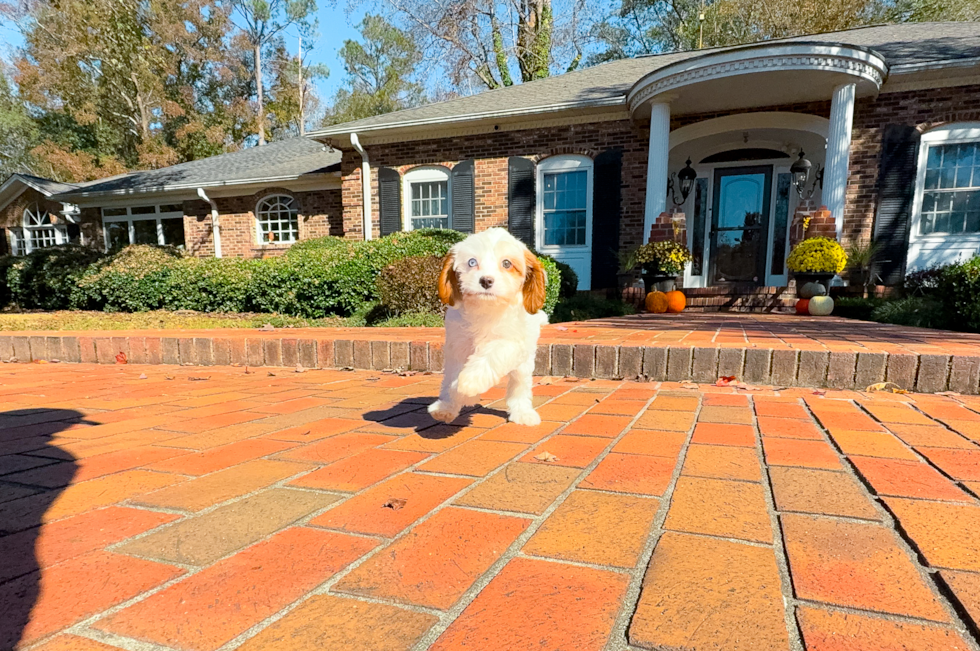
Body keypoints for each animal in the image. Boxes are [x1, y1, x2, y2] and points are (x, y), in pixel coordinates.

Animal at [428, 229, 548, 428]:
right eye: (472, 262)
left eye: (506, 263)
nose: (486, 280)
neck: (486, 309)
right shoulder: (457, 344)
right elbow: (453, 375)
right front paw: (457, 397)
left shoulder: (513, 342)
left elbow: (492, 354)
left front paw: (470, 382)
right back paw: (445, 408)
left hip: (524, 364)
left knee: (519, 385)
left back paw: (522, 412)